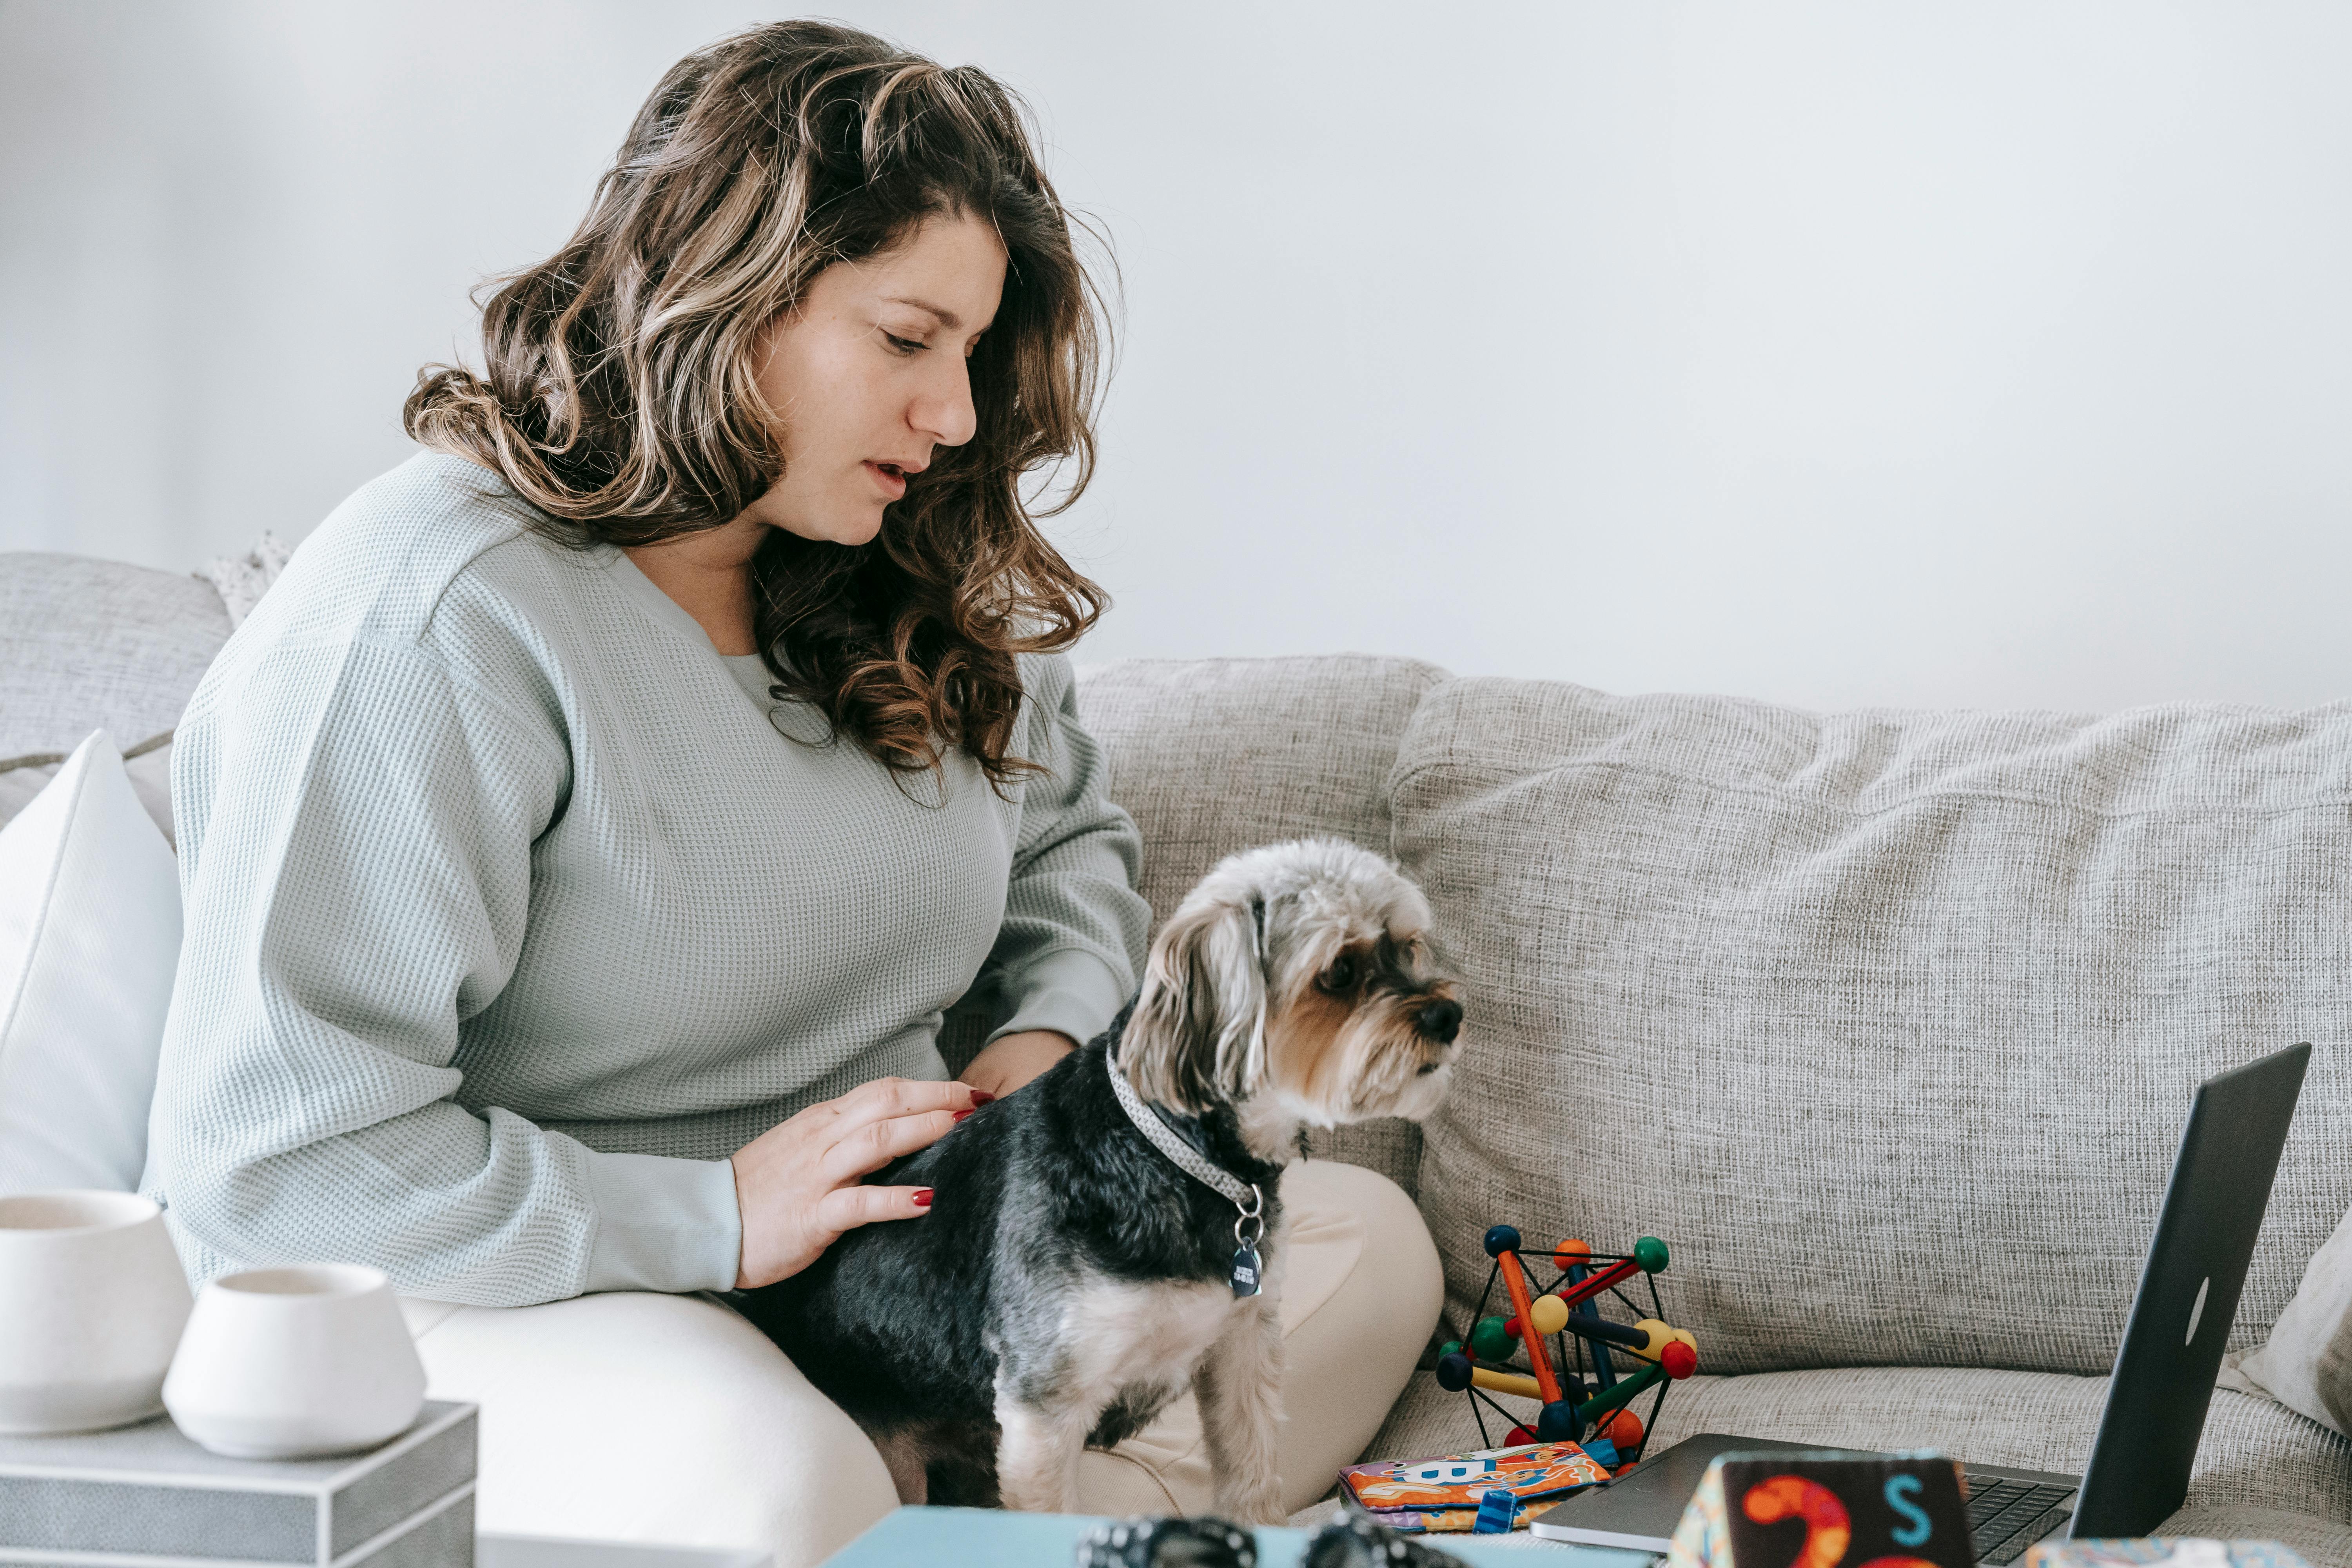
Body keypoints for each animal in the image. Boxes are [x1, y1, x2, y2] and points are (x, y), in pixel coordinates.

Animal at [739, 841, 1468, 1523]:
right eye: (1340, 971)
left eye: (1409, 948)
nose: (1449, 1016)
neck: (1175, 1157)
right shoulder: (1043, 1413)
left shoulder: (1242, 1349)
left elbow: (1253, 1480)